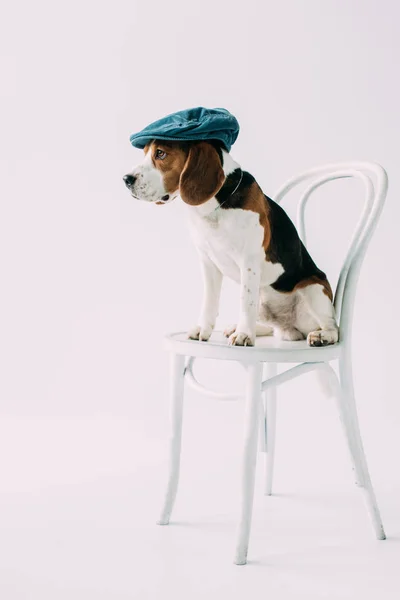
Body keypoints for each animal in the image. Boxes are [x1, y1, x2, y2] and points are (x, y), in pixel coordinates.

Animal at [123, 141, 340, 346]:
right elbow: (209, 301)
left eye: (161, 153)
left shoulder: (249, 262)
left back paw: (322, 336)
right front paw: (204, 330)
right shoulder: (208, 262)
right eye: (145, 153)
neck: (215, 207)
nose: (126, 179)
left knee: (333, 328)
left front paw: (244, 335)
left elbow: (245, 302)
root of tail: (290, 329)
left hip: (313, 289)